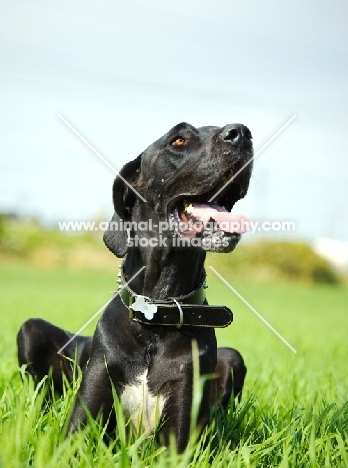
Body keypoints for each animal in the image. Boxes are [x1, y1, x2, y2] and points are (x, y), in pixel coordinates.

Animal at [17, 122, 253, 452]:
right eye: (178, 140)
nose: (242, 133)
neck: (156, 315)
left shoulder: (177, 440)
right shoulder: (78, 429)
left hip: (233, 358)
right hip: (31, 329)